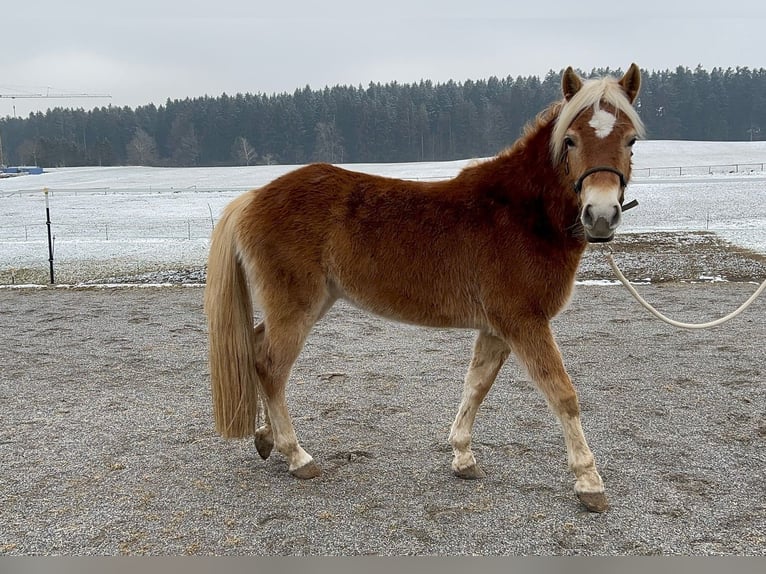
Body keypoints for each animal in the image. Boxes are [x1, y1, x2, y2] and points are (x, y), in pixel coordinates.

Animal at [206, 65, 648, 516]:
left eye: (631, 139)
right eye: (571, 139)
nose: (600, 215)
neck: (520, 212)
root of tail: (252, 198)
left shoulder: (496, 329)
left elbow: (476, 386)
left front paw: (463, 456)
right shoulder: (524, 322)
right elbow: (562, 394)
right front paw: (589, 482)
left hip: (308, 304)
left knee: (256, 349)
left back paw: (266, 438)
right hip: (296, 307)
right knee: (270, 366)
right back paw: (297, 456)